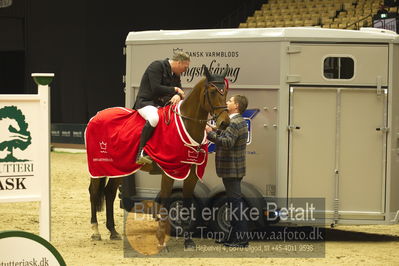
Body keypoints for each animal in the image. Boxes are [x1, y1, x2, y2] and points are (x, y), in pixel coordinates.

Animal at [87, 64, 231, 249]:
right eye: (213, 92)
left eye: (225, 92)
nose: (224, 123)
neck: (186, 125)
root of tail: (97, 115)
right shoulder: (169, 172)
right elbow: (165, 201)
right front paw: (161, 239)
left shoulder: (191, 174)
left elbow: (186, 205)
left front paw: (188, 240)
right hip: (98, 166)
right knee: (93, 192)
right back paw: (95, 231)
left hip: (119, 168)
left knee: (109, 193)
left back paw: (113, 231)